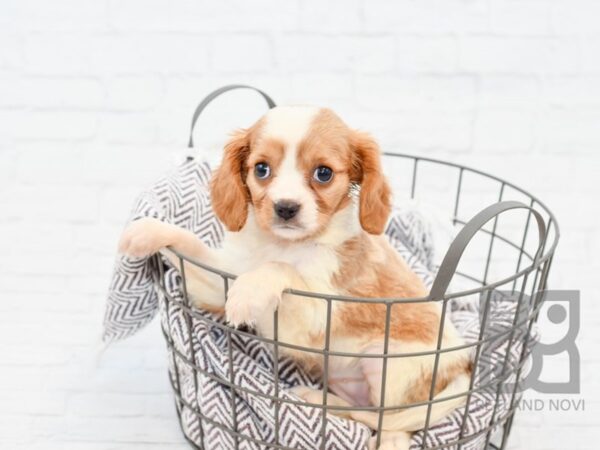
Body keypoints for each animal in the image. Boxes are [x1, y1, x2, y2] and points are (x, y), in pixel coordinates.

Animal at [119, 107, 472, 448]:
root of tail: (463, 365)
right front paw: (148, 230)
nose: (286, 207)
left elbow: (280, 269)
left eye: (323, 173)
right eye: (261, 169)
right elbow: (189, 244)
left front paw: (250, 292)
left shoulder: (313, 315)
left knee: (394, 426)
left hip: (385, 365)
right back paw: (314, 397)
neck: (282, 245)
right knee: (362, 410)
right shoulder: (222, 280)